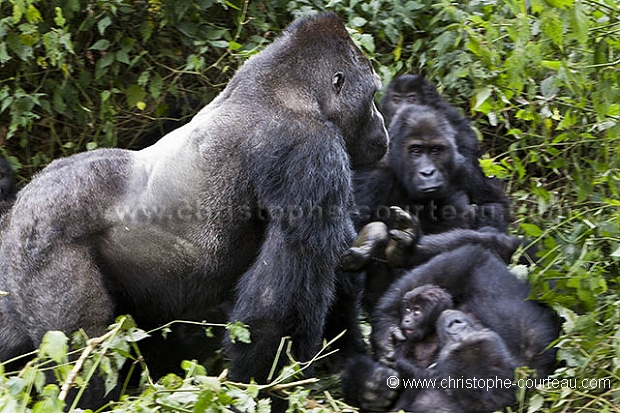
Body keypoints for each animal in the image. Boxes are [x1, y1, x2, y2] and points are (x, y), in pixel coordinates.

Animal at [0, 12, 388, 402]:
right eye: (373, 96)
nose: (383, 125)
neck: (288, 92)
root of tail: (19, 205)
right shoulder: (311, 151)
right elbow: (275, 308)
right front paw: (263, 389)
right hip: (48, 240)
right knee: (84, 354)